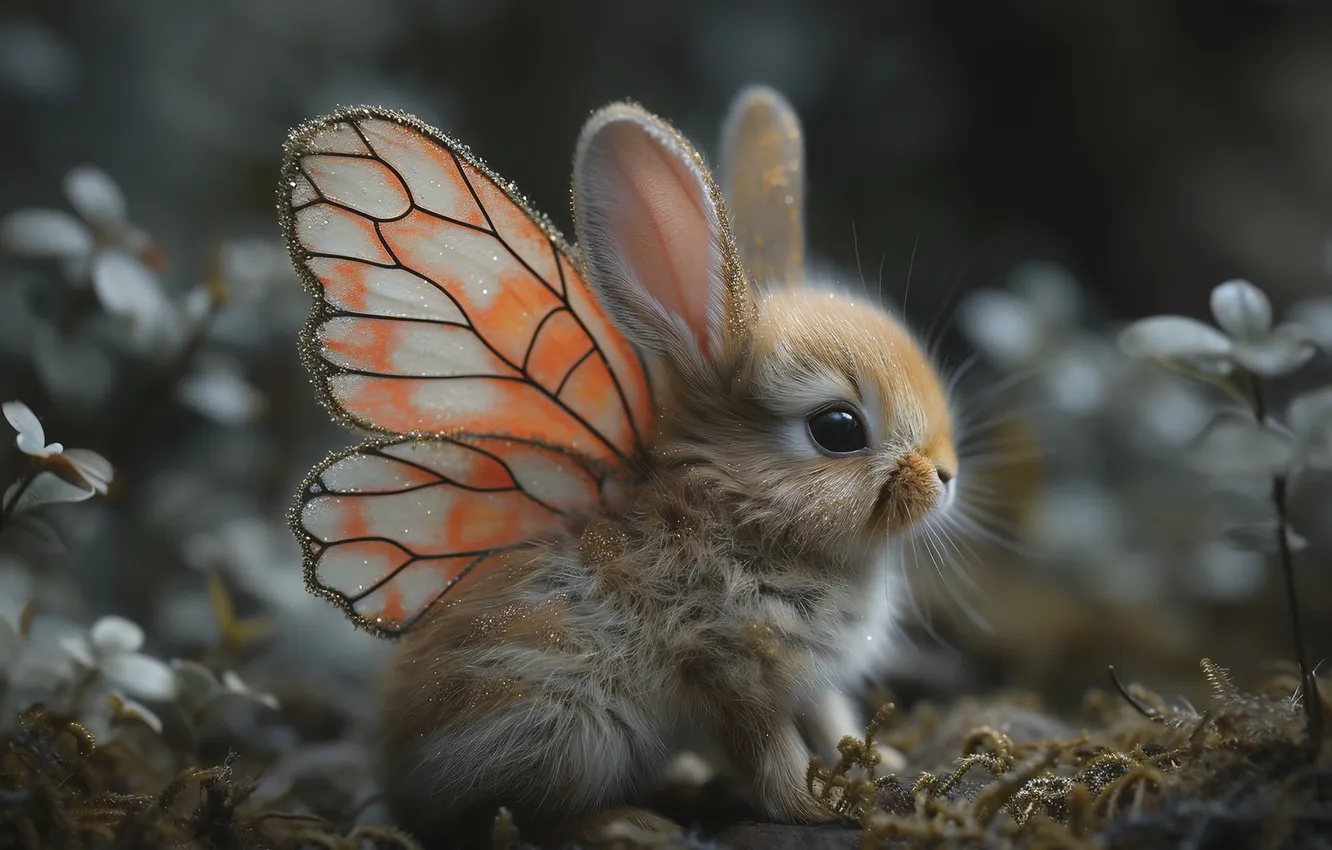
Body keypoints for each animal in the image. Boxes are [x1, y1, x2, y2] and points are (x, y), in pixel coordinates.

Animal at [374, 86, 958, 846]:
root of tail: (400, 778)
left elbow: (832, 719)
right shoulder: (730, 664)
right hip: (572, 728)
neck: (745, 508)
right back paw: (632, 822)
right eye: (837, 429)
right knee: (524, 818)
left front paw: (881, 763)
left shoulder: (813, 680)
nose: (946, 476)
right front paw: (821, 805)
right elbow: (769, 749)